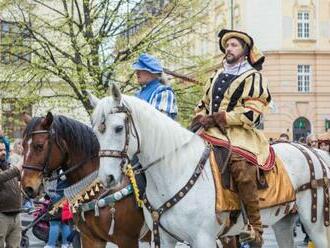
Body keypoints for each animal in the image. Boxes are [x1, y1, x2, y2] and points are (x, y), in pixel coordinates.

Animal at [87, 84, 330, 247]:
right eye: (96, 131)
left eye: (118, 128)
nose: (107, 178)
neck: (175, 170)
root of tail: (313, 151)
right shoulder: (164, 238)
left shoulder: (202, 238)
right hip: (283, 222)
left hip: (315, 225)